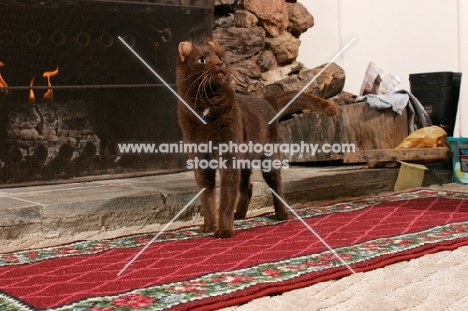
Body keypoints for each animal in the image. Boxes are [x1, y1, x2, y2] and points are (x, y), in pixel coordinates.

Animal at [176, 39, 336, 239]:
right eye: (202, 60)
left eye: (220, 57)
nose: (219, 63)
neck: (206, 105)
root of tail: (266, 101)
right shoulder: (201, 162)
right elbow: (207, 197)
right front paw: (209, 225)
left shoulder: (229, 158)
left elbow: (226, 197)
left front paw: (224, 230)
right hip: (245, 160)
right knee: (248, 186)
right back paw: (239, 214)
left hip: (269, 159)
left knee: (276, 185)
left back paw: (281, 214)